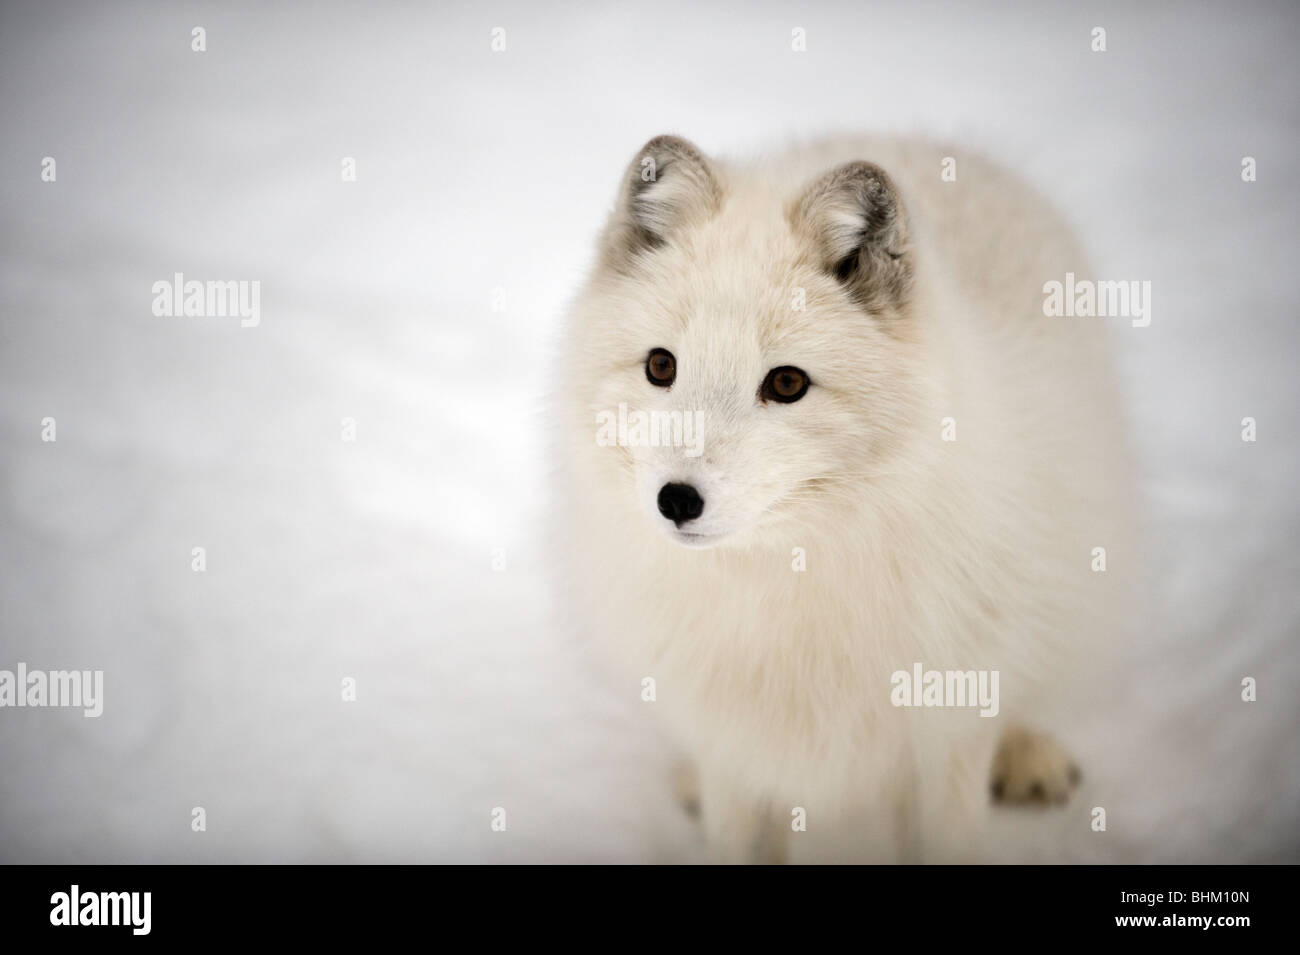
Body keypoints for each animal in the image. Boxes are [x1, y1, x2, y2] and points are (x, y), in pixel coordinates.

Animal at [553, 136, 1133, 867]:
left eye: (786, 383)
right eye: (662, 367)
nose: (676, 500)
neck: (788, 587)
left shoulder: (946, 735)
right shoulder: (734, 746)